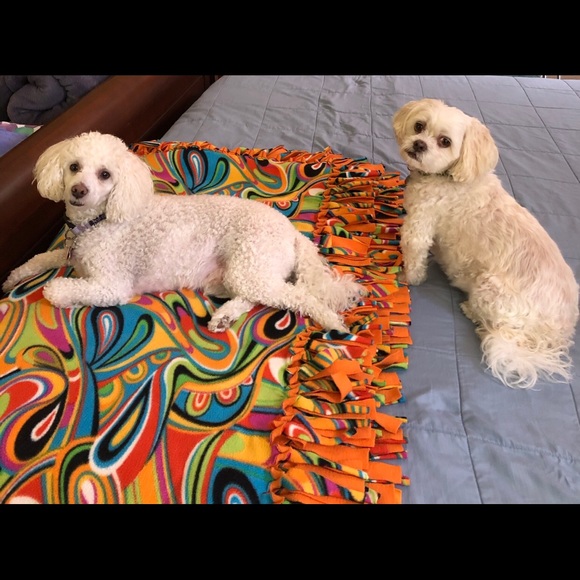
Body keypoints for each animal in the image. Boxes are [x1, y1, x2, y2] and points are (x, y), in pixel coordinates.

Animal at [2, 131, 365, 333]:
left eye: (105, 174)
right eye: (73, 167)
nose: (78, 190)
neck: (98, 221)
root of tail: (292, 232)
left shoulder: (112, 286)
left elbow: (57, 288)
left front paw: (64, 295)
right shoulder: (68, 254)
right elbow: (41, 259)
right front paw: (13, 277)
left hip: (251, 265)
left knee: (298, 297)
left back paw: (331, 322)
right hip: (240, 275)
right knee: (256, 296)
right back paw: (224, 317)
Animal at [393, 98, 579, 389]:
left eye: (445, 141)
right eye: (419, 126)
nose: (419, 144)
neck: (447, 177)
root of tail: (557, 333)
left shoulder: (420, 224)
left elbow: (414, 255)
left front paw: (407, 278)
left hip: (490, 288)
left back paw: (469, 309)